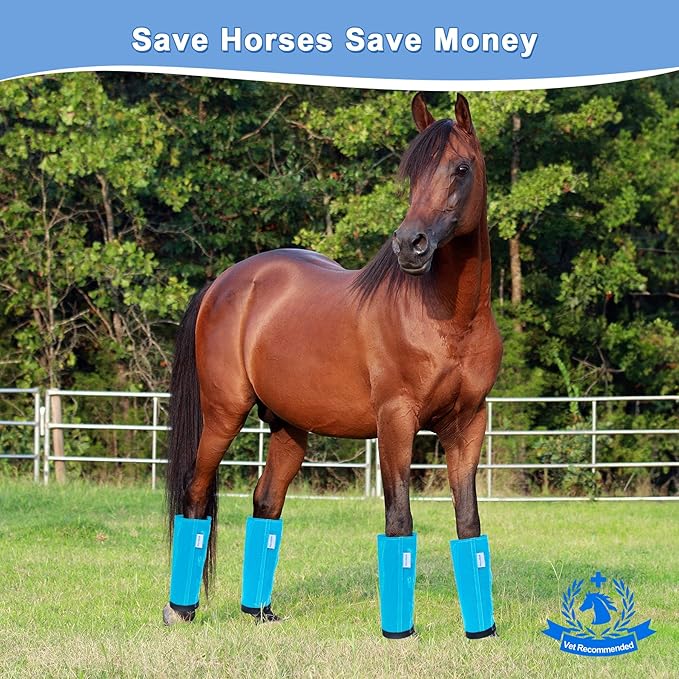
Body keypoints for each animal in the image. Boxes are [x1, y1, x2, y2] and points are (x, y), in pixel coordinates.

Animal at [163, 93, 503, 638]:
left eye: (461, 168)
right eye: (412, 173)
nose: (410, 245)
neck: (451, 319)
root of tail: (223, 283)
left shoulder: (468, 423)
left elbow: (469, 526)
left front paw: (482, 633)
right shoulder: (396, 421)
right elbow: (399, 521)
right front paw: (399, 634)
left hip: (288, 427)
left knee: (266, 503)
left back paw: (259, 613)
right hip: (223, 414)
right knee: (195, 496)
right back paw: (181, 610)